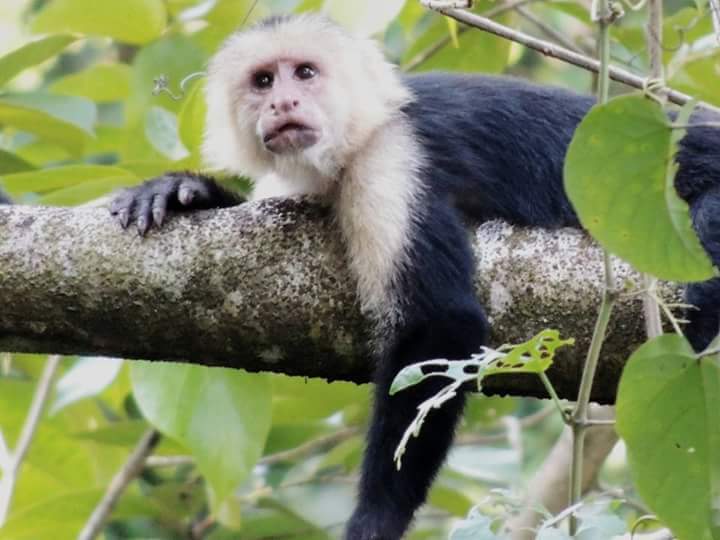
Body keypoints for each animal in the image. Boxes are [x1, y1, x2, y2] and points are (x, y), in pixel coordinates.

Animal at [109, 12, 720, 540]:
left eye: (304, 72)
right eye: (262, 81)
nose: (283, 100)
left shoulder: (390, 164)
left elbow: (441, 326)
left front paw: (375, 521)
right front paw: (185, 191)